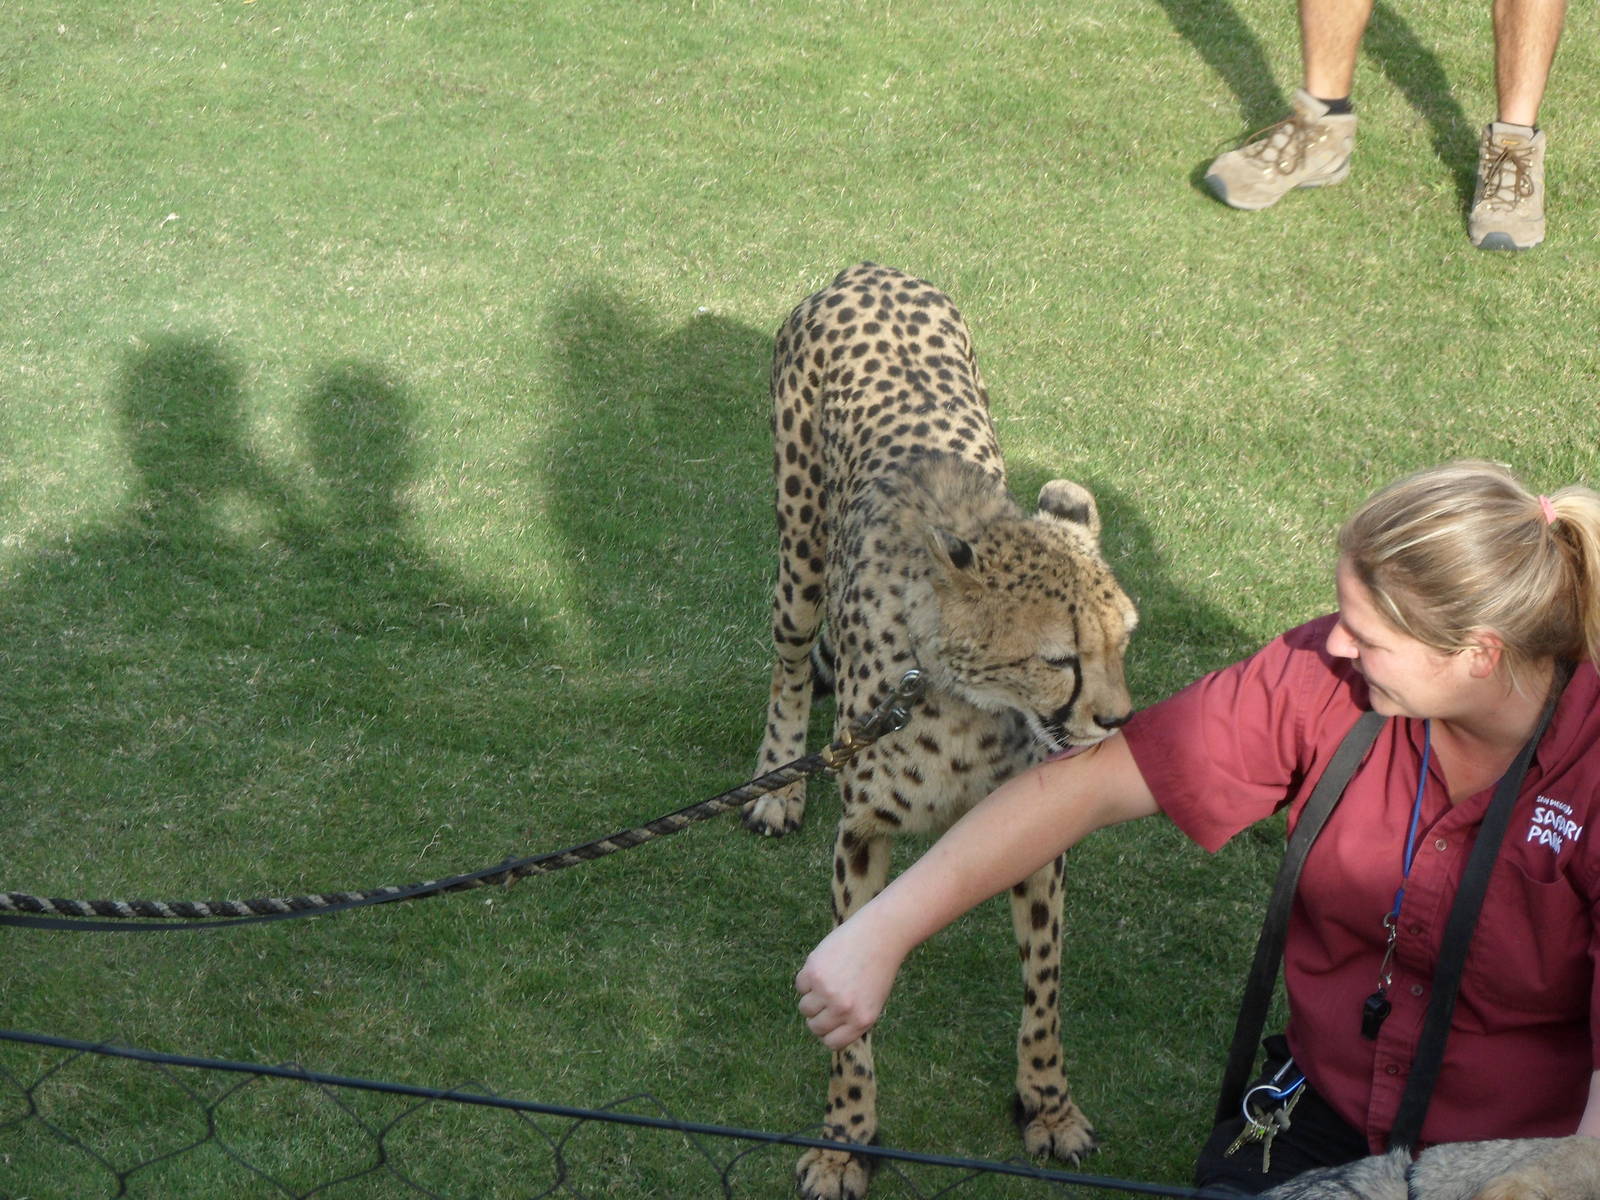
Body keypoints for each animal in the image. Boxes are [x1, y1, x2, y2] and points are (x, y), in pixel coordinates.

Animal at [745, 262, 1138, 1200]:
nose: (1117, 721)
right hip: (800, 547)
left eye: (1124, 641)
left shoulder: (1033, 833)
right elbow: (852, 1022)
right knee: (786, 654)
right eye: (1060, 659)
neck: (960, 700)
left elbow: (1044, 993)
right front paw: (845, 1139)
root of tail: (867, 268)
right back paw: (778, 783)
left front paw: (1049, 1108)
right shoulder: (860, 834)